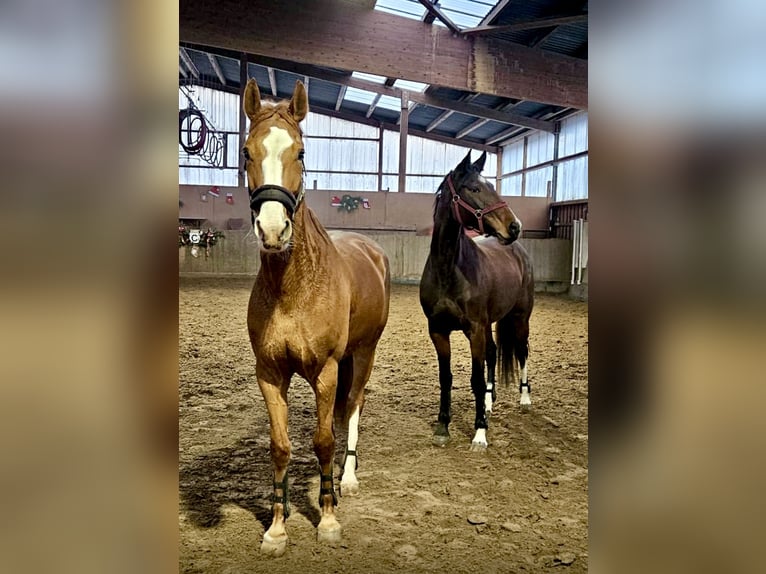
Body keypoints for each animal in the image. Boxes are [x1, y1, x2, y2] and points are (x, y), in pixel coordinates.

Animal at [244, 81, 392, 560]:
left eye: (302, 151)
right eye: (247, 151)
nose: (273, 231)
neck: (292, 289)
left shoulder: (326, 370)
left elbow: (324, 440)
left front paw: (327, 519)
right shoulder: (270, 374)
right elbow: (281, 446)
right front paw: (277, 526)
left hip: (363, 353)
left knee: (354, 406)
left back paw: (348, 478)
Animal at [420, 152, 536, 454]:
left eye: (491, 186)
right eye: (473, 188)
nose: (515, 226)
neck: (449, 269)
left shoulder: (474, 329)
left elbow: (475, 378)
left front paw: (480, 433)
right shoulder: (438, 331)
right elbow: (446, 378)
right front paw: (442, 426)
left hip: (520, 318)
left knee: (521, 352)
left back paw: (524, 399)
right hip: (489, 325)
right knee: (493, 354)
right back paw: (489, 403)